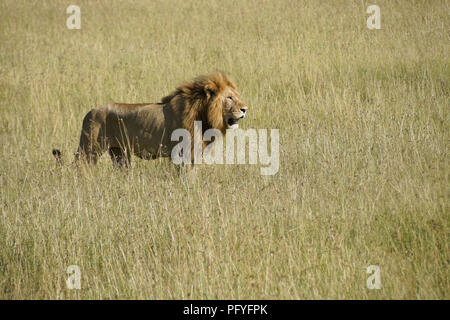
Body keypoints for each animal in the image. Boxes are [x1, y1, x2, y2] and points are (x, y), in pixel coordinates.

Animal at [55, 72, 250, 168]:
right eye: (230, 98)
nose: (245, 109)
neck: (204, 116)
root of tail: (89, 112)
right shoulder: (185, 153)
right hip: (90, 149)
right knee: (78, 167)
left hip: (119, 153)